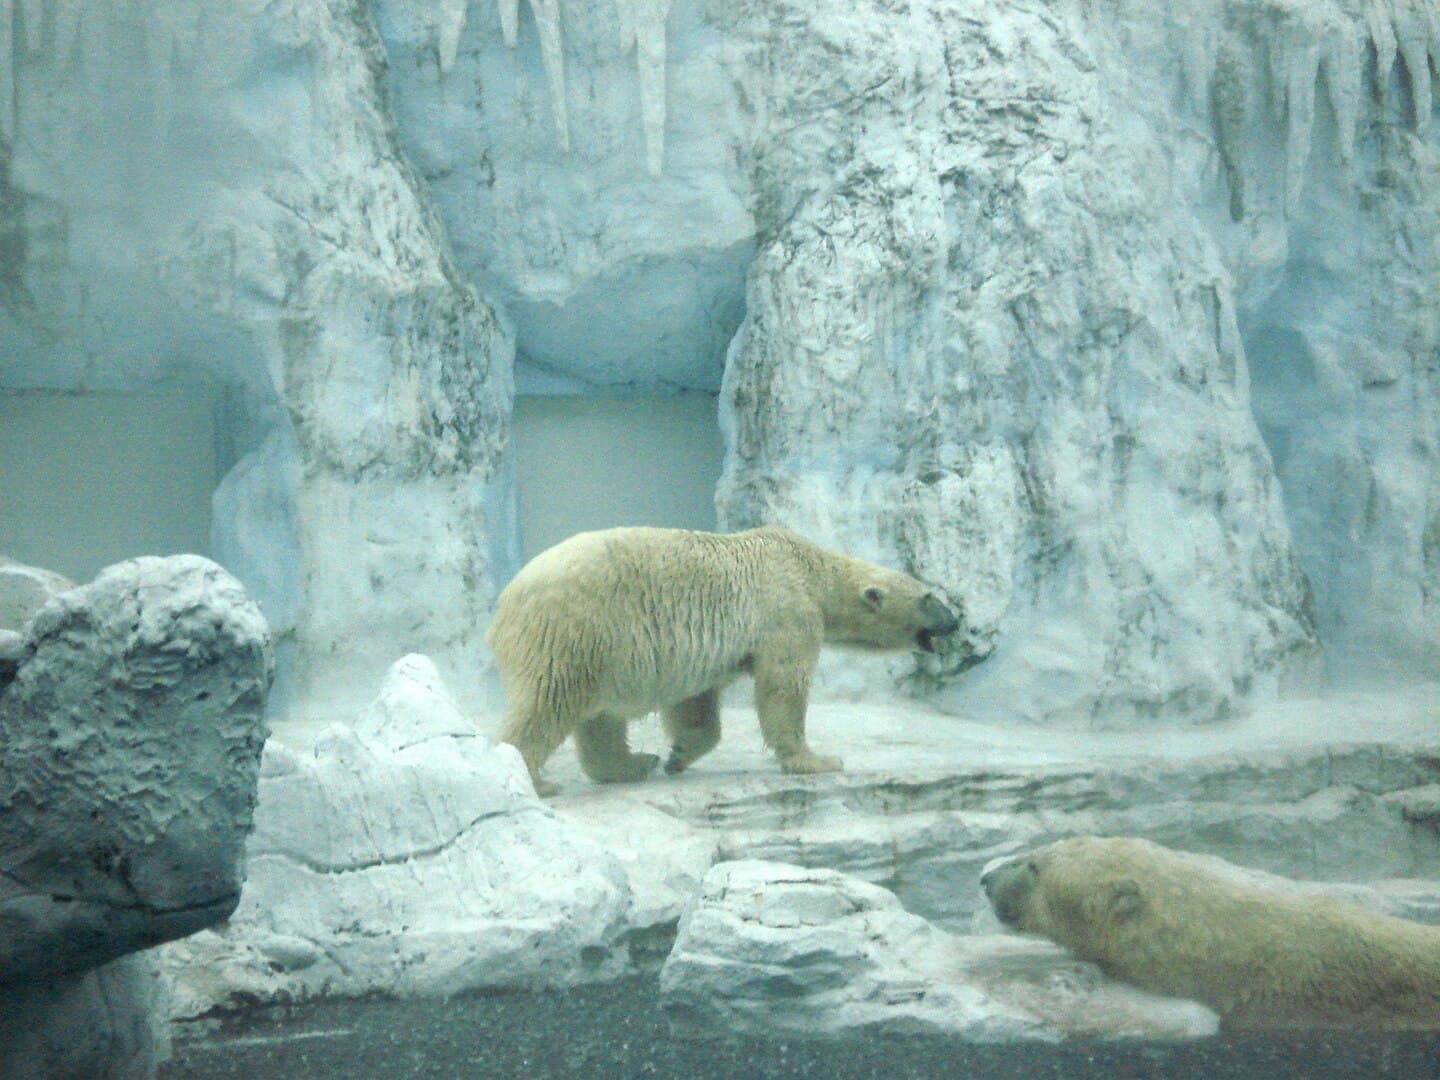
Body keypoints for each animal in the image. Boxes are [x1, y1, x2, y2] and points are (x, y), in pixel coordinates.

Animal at [487, 525, 961, 796]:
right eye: (928, 597)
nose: (955, 620)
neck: (808, 565)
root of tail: (506, 603)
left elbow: (695, 703)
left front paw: (678, 754)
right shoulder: (787, 610)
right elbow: (782, 687)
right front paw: (818, 762)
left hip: (604, 651)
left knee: (600, 718)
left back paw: (634, 764)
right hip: (578, 629)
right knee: (547, 702)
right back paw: (536, 779)